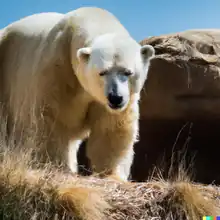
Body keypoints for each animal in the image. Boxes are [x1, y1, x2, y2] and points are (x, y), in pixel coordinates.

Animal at [0, 6, 155, 180]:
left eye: (127, 72)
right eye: (102, 72)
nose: (115, 98)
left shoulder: (112, 100)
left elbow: (111, 126)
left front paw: (110, 173)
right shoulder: (56, 68)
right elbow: (49, 119)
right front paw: (54, 166)